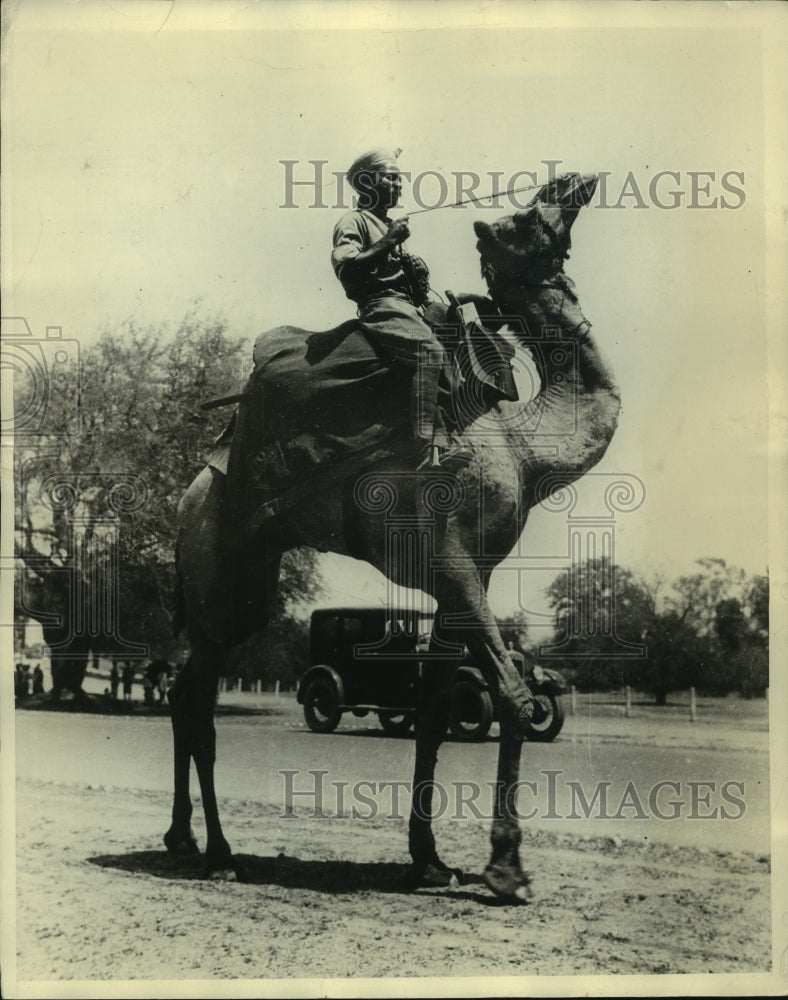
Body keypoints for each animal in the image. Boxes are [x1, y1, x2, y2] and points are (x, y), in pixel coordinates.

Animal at [166, 174, 620, 908]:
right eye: (527, 220)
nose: (576, 181)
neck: (527, 449)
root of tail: (186, 497)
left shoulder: (462, 578)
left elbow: (435, 714)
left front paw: (430, 862)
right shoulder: (453, 558)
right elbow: (514, 698)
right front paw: (507, 872)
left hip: (240, 586)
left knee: (184, 691)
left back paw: (179, 838)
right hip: (218, 570)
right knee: (201, 704)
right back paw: (221, 855)